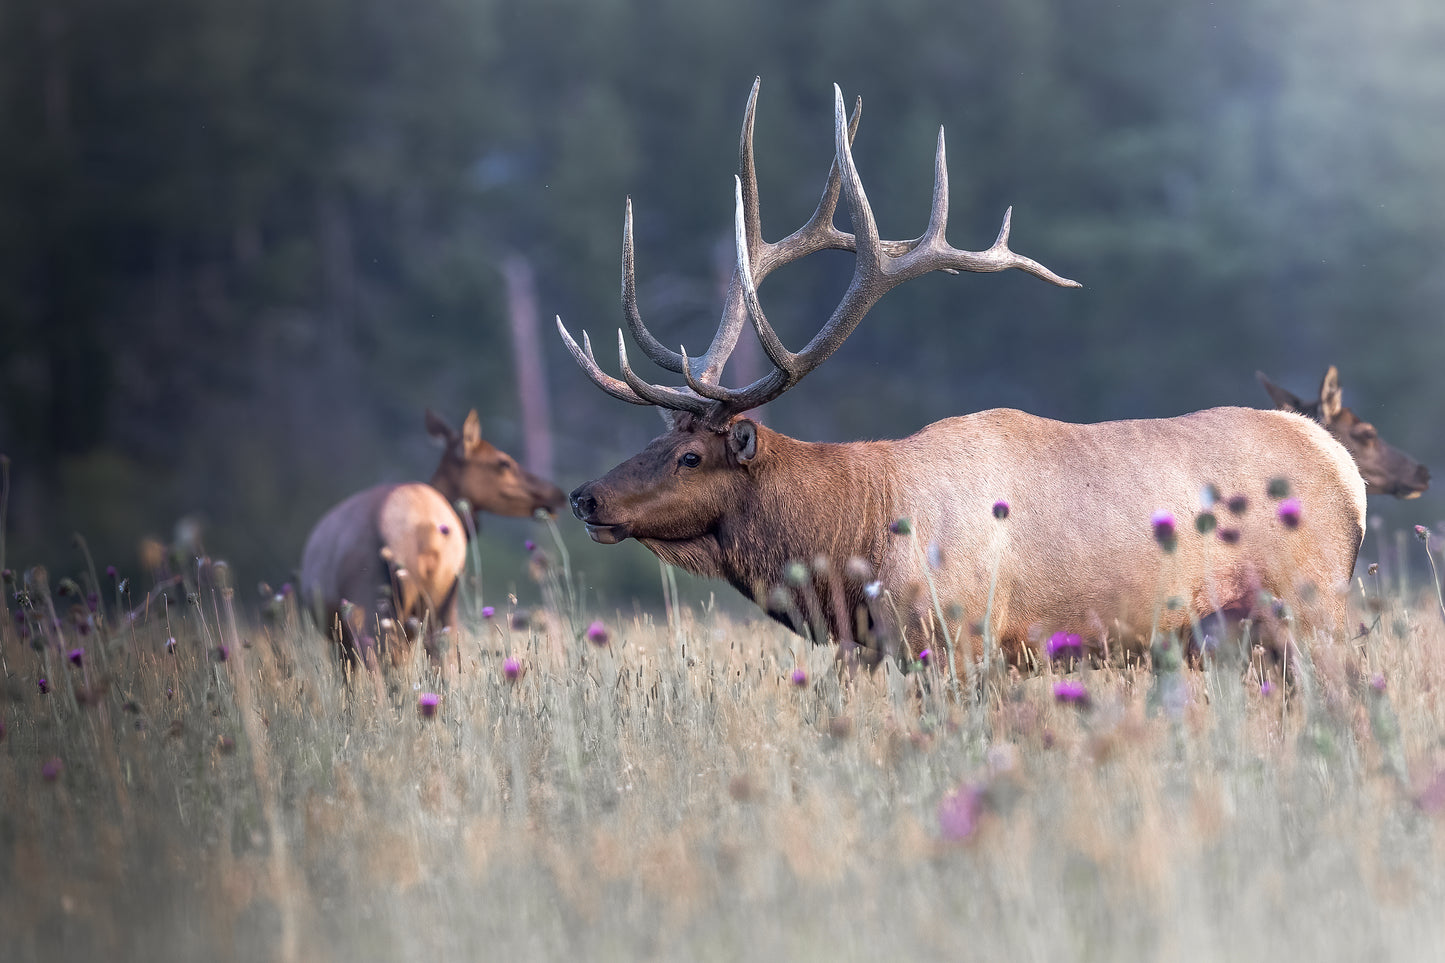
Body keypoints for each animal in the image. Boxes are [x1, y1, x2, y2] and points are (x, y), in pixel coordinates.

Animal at [557, 80, 1369, 659]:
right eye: (655, 440)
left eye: (691, 456)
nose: (584, 496)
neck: (857, 540)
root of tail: (1345, 470)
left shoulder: (960, 637)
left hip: (1311, 607)